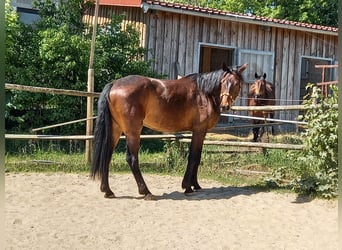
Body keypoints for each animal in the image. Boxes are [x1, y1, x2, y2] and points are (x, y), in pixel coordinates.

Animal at [90, 63, 246, 199]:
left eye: (237, 83)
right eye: (223, 82)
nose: (225, 105)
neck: (204, 93)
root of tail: (114, 84)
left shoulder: (202, 132)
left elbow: (198, 157)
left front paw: (196, 185)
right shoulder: (198, 131)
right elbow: (193, 157)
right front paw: (187, 187)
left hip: (116, 129)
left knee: (107, 156)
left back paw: (108, 191)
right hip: (133, 132)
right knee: (132, 159)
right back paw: (146, 191)